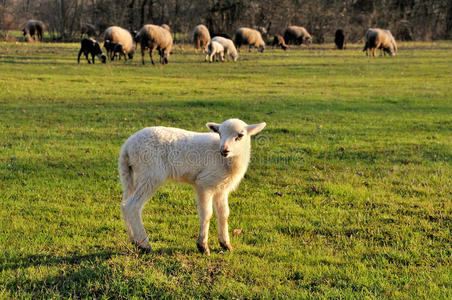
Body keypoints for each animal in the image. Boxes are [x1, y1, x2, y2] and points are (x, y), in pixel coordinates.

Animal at [118, 118, 266, 254]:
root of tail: (127, 146)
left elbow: (224, 214)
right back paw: (145, 245)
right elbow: (207, 214)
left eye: (240, 135)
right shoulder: (204, 183)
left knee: (124, 205)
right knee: (133, 205)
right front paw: (203, 246)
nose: (224, 150)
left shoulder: (221, 188)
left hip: (133, 174)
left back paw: (134, 240)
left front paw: (225, 245)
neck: (226, 161)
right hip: (150, 172)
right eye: (220, 134)